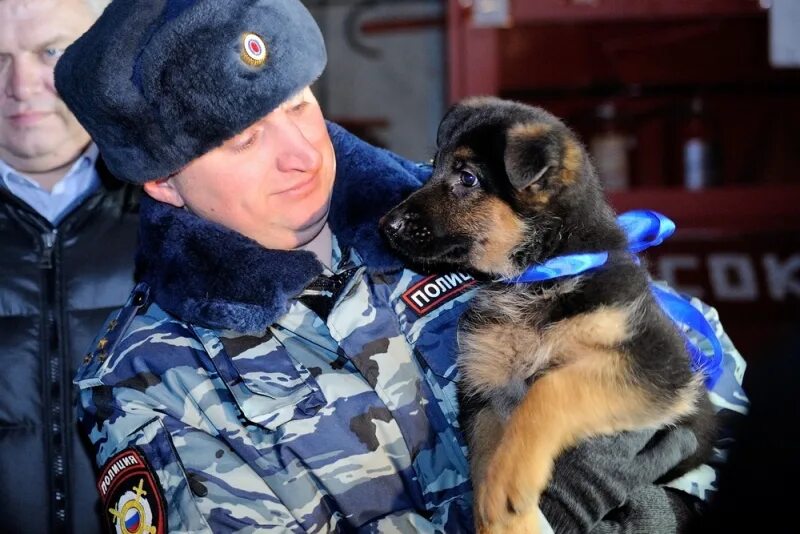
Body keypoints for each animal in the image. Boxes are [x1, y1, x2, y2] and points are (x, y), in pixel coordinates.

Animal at [378, 98, 716, 532]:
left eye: (467, 178)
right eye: (433, 167)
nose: (385, 225)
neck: (538, 275)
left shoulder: (659, 363)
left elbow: (549, 390)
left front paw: (508, 484)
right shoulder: (483, 388)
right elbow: (483, 460)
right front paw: (504, 517)